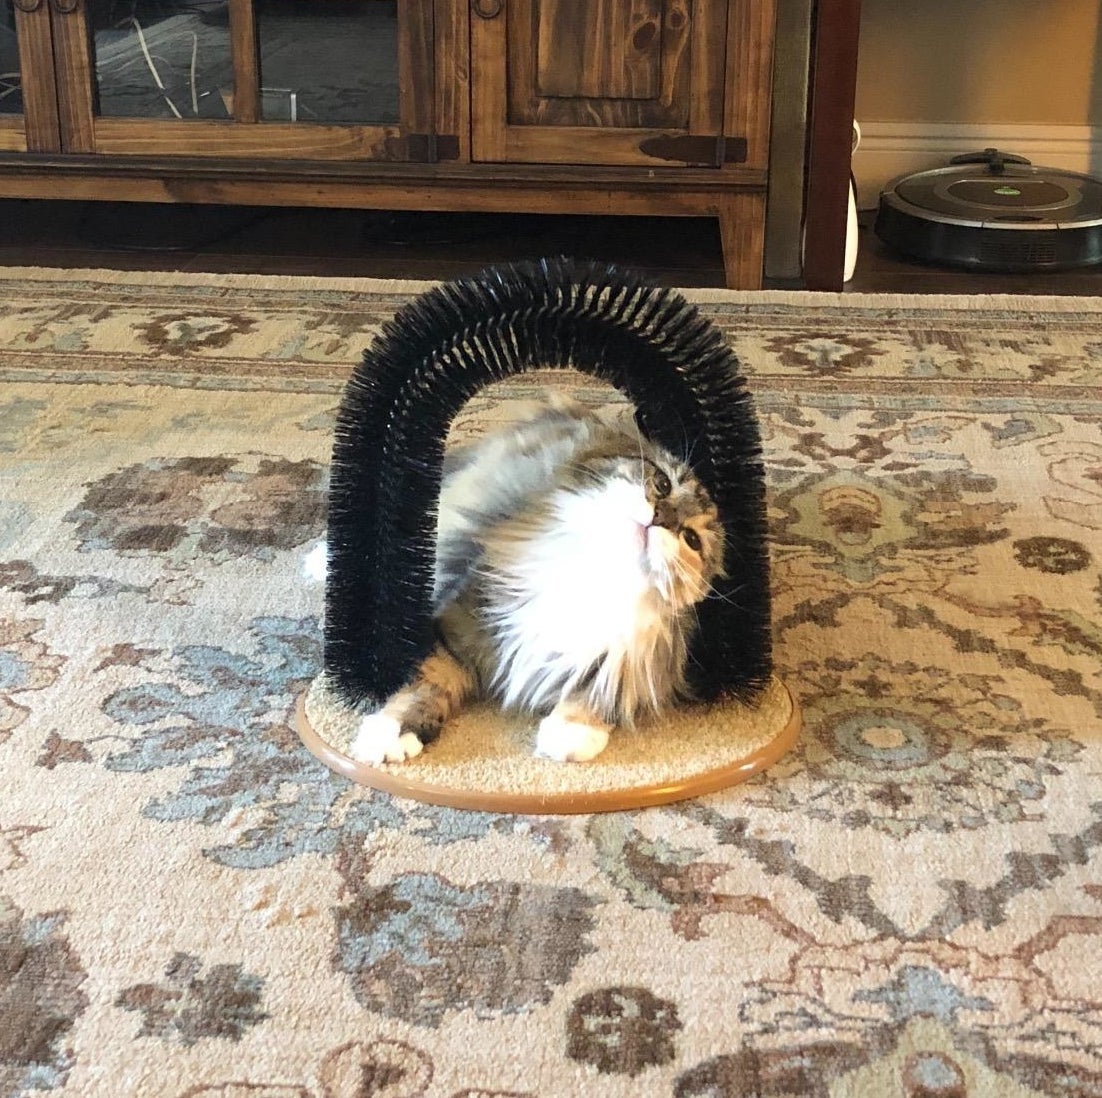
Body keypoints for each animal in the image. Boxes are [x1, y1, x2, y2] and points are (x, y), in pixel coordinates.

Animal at [308, 392, 722, 762]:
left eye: (691, 539)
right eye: (663, 484)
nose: (661, 518)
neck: (587, 577)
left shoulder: (625, 662)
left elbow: (596, 695)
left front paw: (571, 733)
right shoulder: (455, 624)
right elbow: (424, 684)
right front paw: (390, 734)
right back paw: (318, 561)